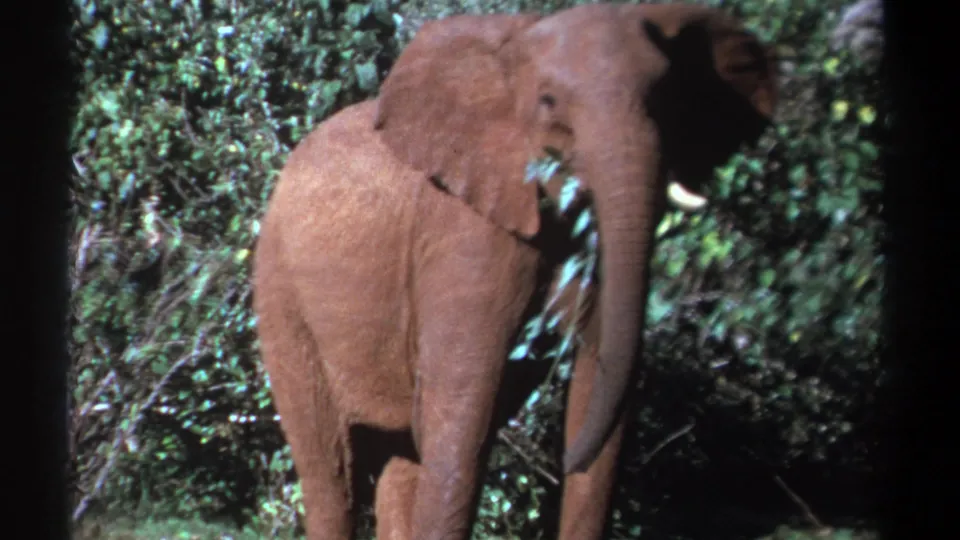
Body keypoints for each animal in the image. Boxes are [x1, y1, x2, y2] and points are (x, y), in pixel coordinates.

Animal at [252, 2, 778, 539]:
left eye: (666, 99)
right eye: (548, 102)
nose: (561, 463)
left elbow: (599, 389)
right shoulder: (465, 229)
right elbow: (464, 413)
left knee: (400, 459)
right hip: (280, 295)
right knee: (331, 469)